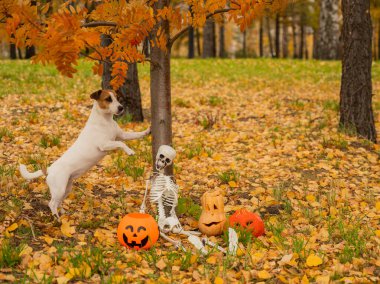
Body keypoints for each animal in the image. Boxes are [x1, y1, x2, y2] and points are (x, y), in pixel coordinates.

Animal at [19, 89, 150, 220]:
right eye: (108, 99)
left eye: (117, 98)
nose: (121, 107)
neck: (105, 121)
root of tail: (49, 169)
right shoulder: (104, 144)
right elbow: (120, 143)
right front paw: (130, 151)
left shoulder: (122, 135)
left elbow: (136, 134)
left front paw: (148, 130)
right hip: (59, 189)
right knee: (51, 203)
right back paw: (57, 219)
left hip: (66, 188)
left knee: (58, 202)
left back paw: (63, 214)